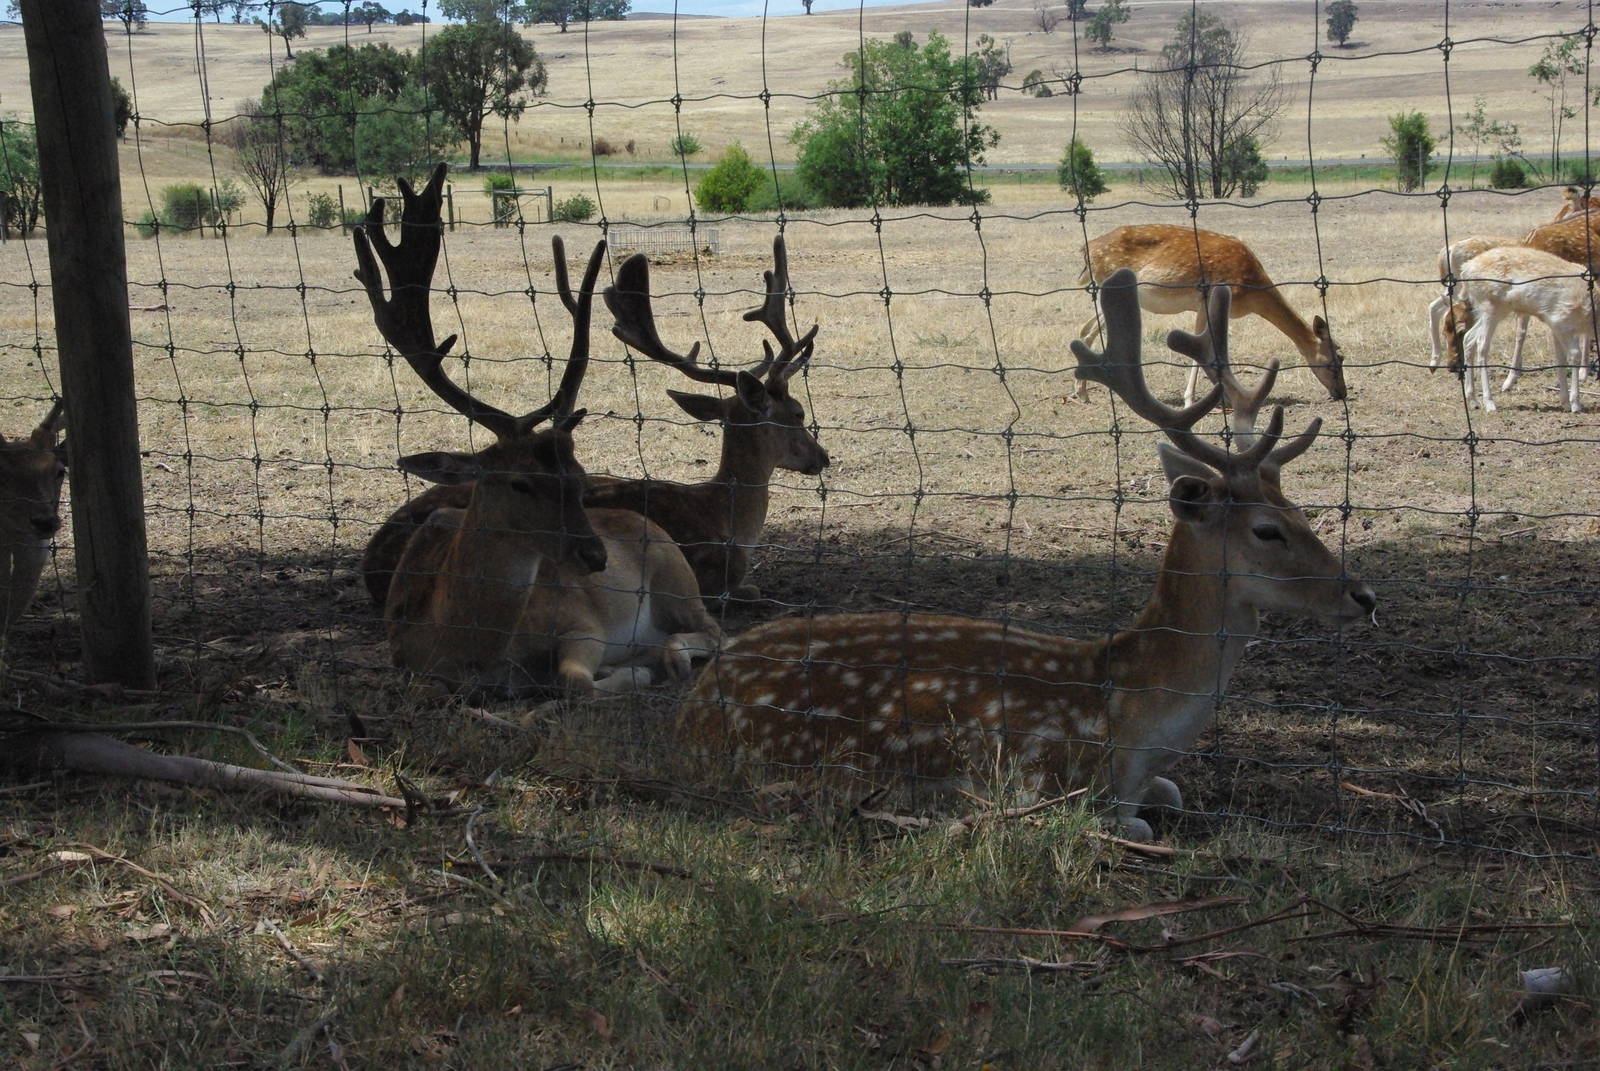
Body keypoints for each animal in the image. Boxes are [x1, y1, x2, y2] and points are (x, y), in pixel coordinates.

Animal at [353, 164, 719, 698]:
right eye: (520, 482)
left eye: (580, 480)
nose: (595, 554)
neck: (466, 646)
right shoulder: (408, 663)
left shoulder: (582, 625)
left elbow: (576, 681)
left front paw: (632, 670)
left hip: (678, 581)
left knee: (713, 630)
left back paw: (665, 657)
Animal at [360, 238, 829, 608]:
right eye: (798, 413)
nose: (822, 457)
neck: (725, 517)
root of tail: (370, 561)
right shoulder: (716, 576)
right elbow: (750, 590)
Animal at [677, 270, 1376, 841]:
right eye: (1267, 531)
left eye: (1302, 511)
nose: (1364, 596)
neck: (1131, 722)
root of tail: (693, 709)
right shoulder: (1040, 781)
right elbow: (1138, 824)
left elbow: (1173, 795)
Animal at [1078, 224, 1346, 405]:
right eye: (1335, 359)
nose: (1341, 393)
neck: (1250, 291)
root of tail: (1086, 249)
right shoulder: (1206, 302)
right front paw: (1192, 399)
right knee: (1087, 334)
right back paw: (1083, 392)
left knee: (1083, 330)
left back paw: (1083, 392)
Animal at [1448, 246, 1593, 413]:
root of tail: (1466, 269)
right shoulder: (1561, 323)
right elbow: (1574, 355)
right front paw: (1576, 404)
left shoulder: (1558, 328)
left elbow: (1560, 357)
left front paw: (1566, 402)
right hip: (1490, 309)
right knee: (1482, 344)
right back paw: (1489, 402)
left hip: (1491, 312)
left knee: (1469, 338)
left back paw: (1473, 399)